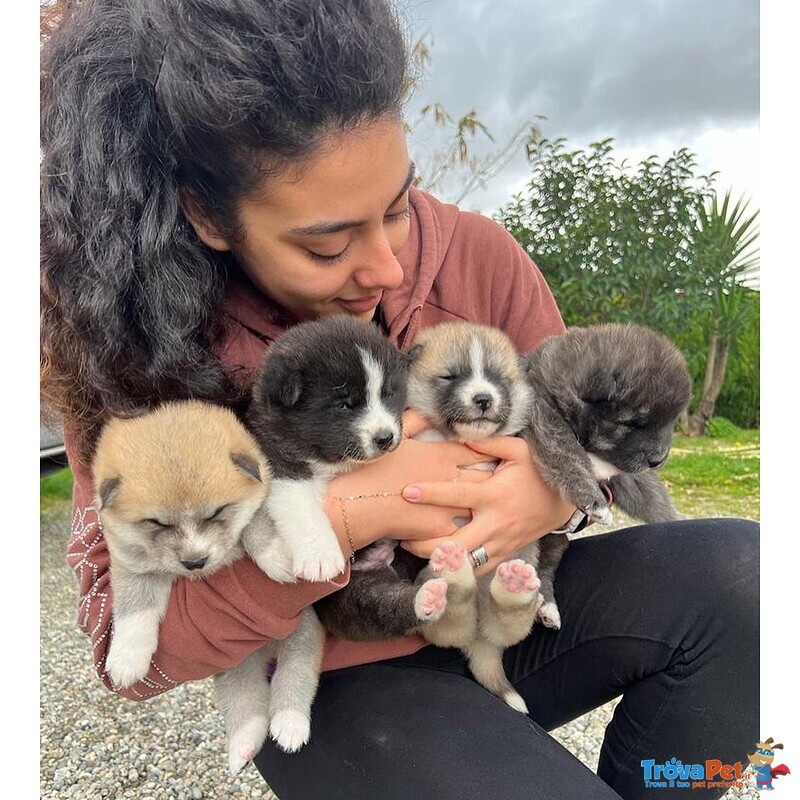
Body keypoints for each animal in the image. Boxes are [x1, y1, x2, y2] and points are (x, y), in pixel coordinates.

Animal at [95, 400, 326, 776]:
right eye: (157, 523)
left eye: (217, 512)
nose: (195, 561)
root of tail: (265, 652)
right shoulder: (132, 566)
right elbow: (134, 609)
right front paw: (127, 659)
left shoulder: (260, 497)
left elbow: (257, 526)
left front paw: (277, 559)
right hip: (233, 668)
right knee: (246, 704)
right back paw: (243, 746)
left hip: (302, 638)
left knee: (294, 679)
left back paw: (289, 726)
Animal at [247, 316, 410, 584]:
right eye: (344, 405)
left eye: (388, 394)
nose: (385, 438)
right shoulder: (277, 459)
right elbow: (299, 504)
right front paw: (319, 554)